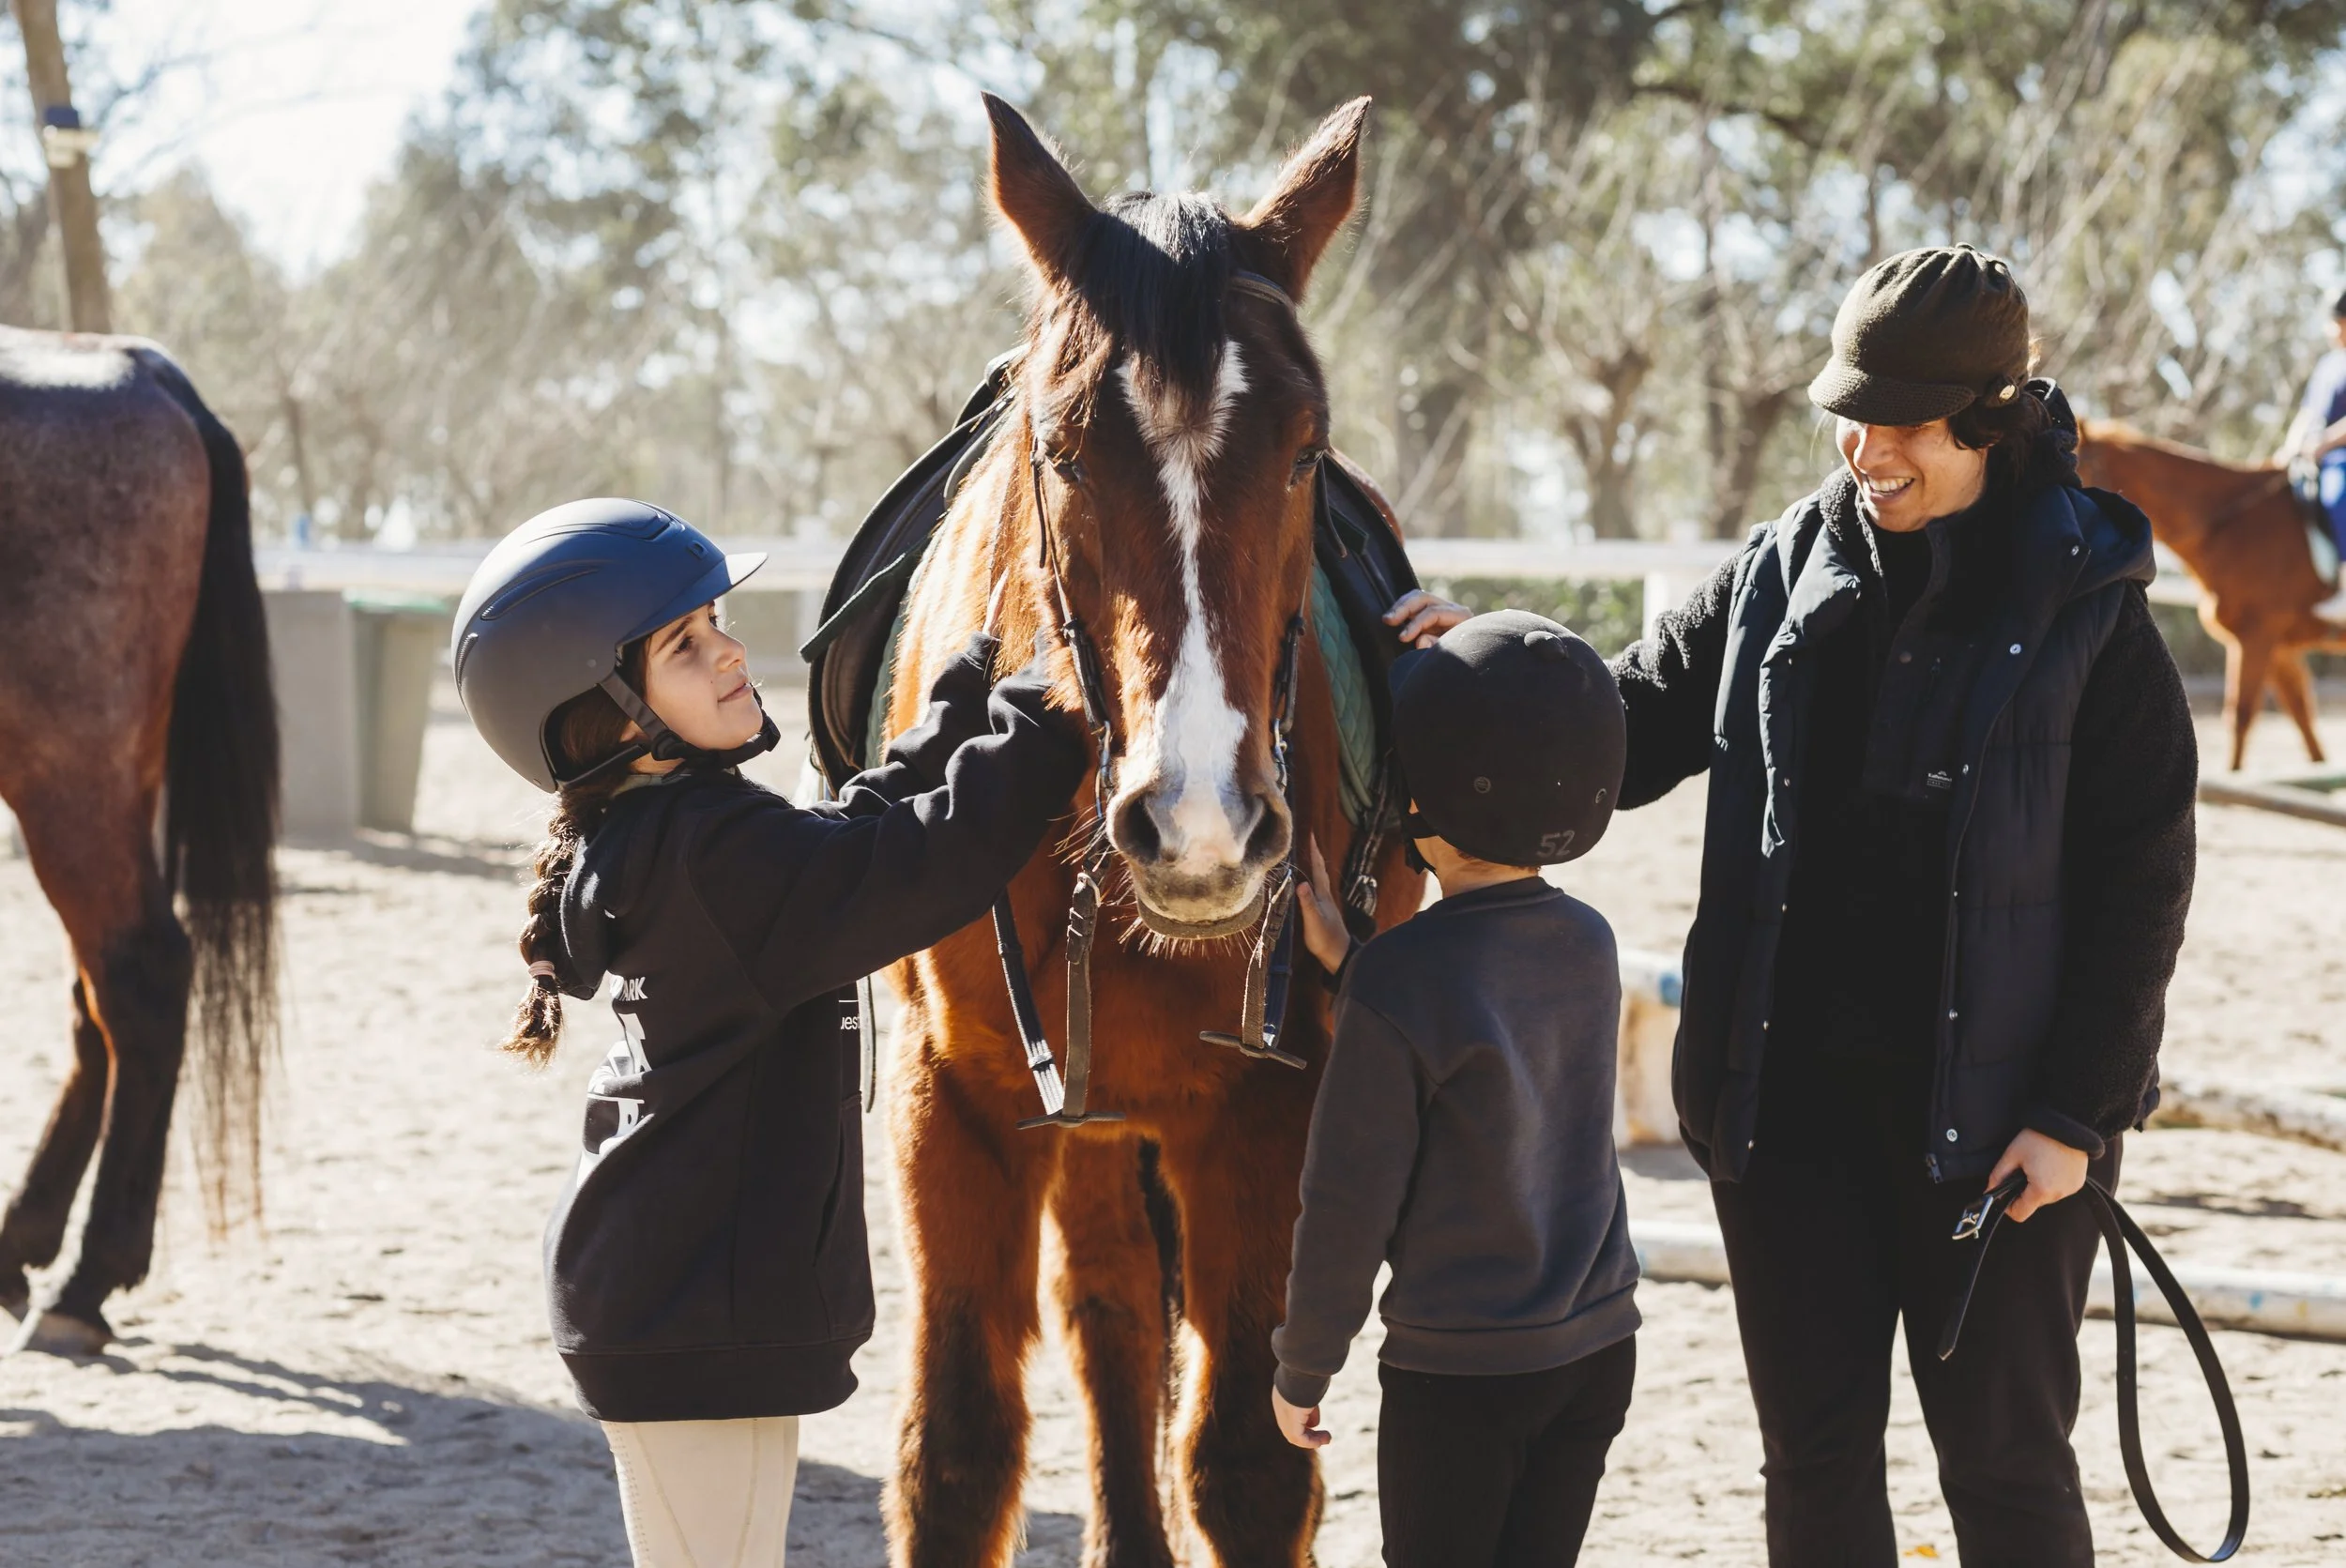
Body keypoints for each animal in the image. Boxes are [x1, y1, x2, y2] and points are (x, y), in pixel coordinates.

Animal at [871, 98, 1419, 1565]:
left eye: (1302, 450)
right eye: (1062, 452)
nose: (1201, 825)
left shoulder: (1273, 1104)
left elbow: (1247, 1462)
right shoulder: (962, 1107)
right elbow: (959, 1453)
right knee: (1110, 1314)